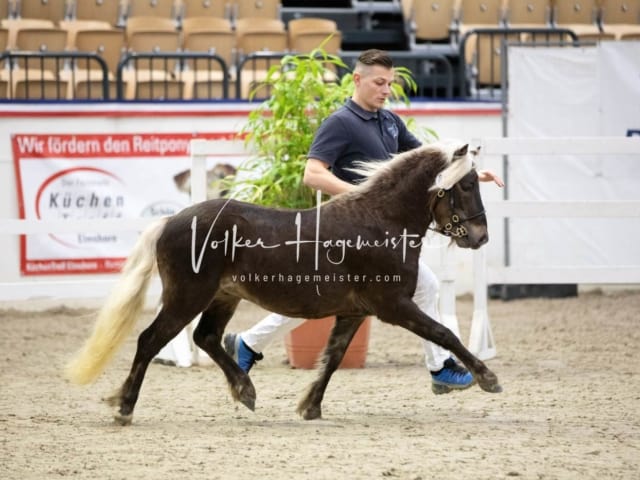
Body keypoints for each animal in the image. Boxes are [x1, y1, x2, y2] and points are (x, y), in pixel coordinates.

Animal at [67, 142, 502, 424]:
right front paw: (487, 378)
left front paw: (311, 406)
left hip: (222, 297)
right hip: (187, 297)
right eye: (466, 186)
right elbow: (444, 333)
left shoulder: (354, 312)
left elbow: (333, 357)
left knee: (207, 337)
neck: (378, 222)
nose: (481, 237)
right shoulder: (393, 305)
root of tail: (170, 221)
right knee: (151, 340)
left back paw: (245, 390)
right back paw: (125, 407)